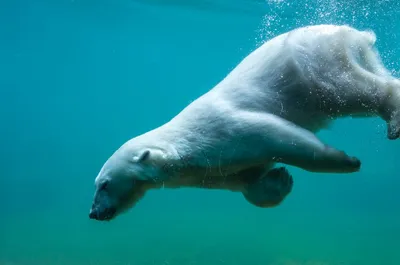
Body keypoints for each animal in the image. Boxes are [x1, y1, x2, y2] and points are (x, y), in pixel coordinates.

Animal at [90, 23, 400, 220]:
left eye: (104, 184)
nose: (93, 213)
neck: (184, 144)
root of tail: (353, 34)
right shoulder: (214, 171)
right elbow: (248, 182)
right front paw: (280, 180)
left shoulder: (225, 131)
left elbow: (281, 136)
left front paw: (347, 161)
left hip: (313, 67)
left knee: (350, 91)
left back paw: (393, 120)